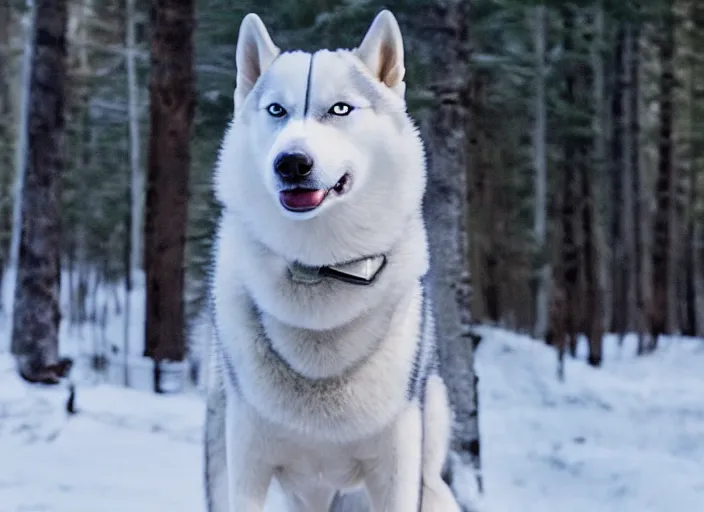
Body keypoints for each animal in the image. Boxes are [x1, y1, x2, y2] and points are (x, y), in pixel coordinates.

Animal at [202, 9, 462, 512]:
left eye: (339, 110)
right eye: (277, 111)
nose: (291, 163)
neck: (316, 268)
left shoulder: (397, 467)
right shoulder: (247, 467)